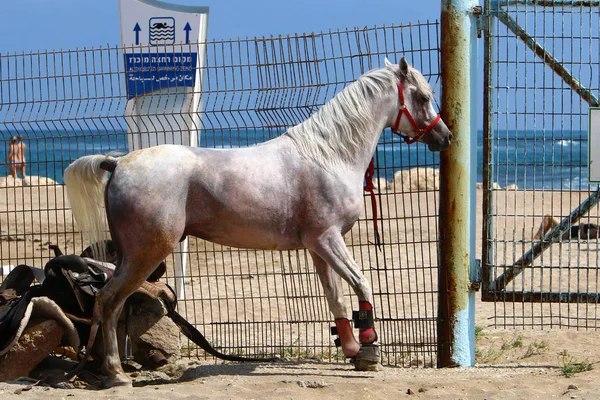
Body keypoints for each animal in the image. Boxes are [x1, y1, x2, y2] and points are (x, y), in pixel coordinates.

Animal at [64, 57, 450, 386]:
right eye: (423, 96)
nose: (444, 137)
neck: (328, 156)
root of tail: (118, 163)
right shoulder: (328, 239)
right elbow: (362, 283)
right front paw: (369, 348)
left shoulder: (318, 247)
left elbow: (336, 298)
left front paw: (353, 350)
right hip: (145, 255)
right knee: (108, 301)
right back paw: (116, 373)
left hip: (129, 257)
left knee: (111, 303)